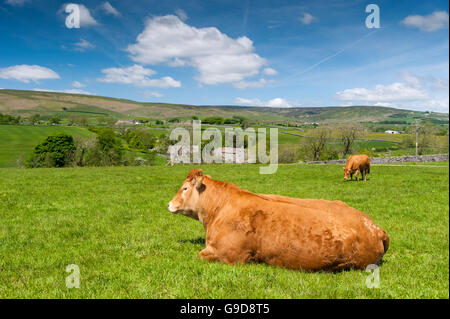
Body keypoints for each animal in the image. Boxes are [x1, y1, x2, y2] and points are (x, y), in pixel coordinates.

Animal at [167, 169, 388, 272]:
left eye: (184, 188)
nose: (169, 204)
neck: (217, 210)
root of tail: (375, 227)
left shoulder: (227, 254)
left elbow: (200, 255)